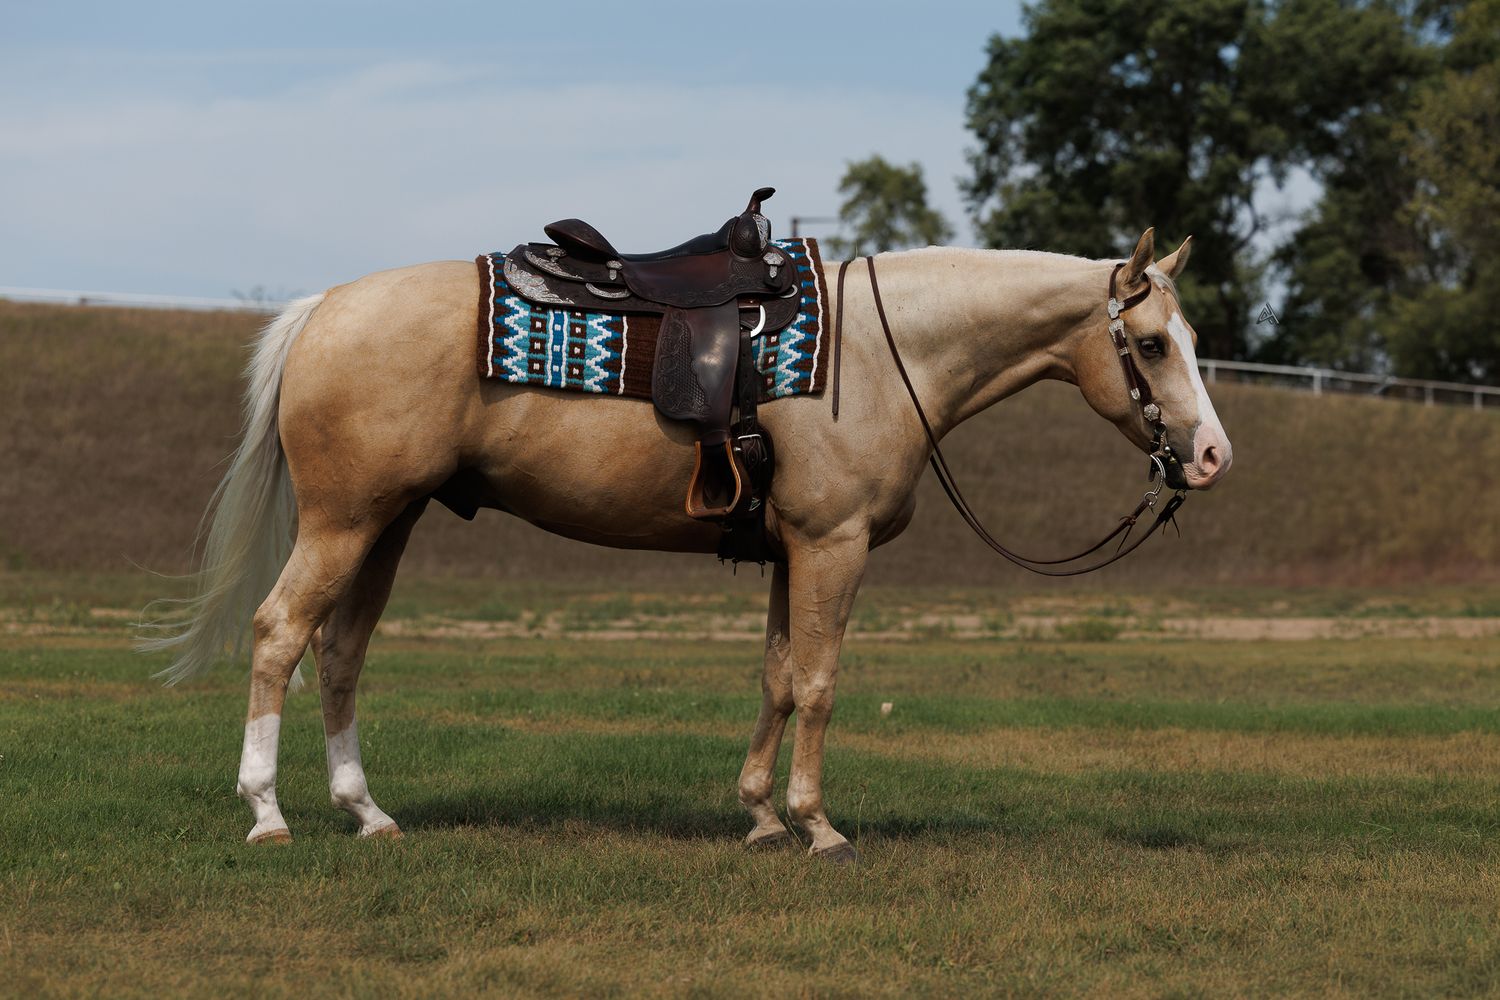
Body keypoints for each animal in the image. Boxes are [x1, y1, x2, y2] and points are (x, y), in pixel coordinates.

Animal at [142, 228, 1231, 862]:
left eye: (1185, 340)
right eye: (1151, 345)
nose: (1214, 455)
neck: (881, 356)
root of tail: (323, 307)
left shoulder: (792, 551)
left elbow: (778, 677)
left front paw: (758, 814)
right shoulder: (833, 546)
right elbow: (820, 683)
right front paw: (818, 825)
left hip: (387, 522)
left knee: (341, 652)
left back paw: (365, 811)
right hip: (344, 520)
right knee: (280, 633)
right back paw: (268, 812)